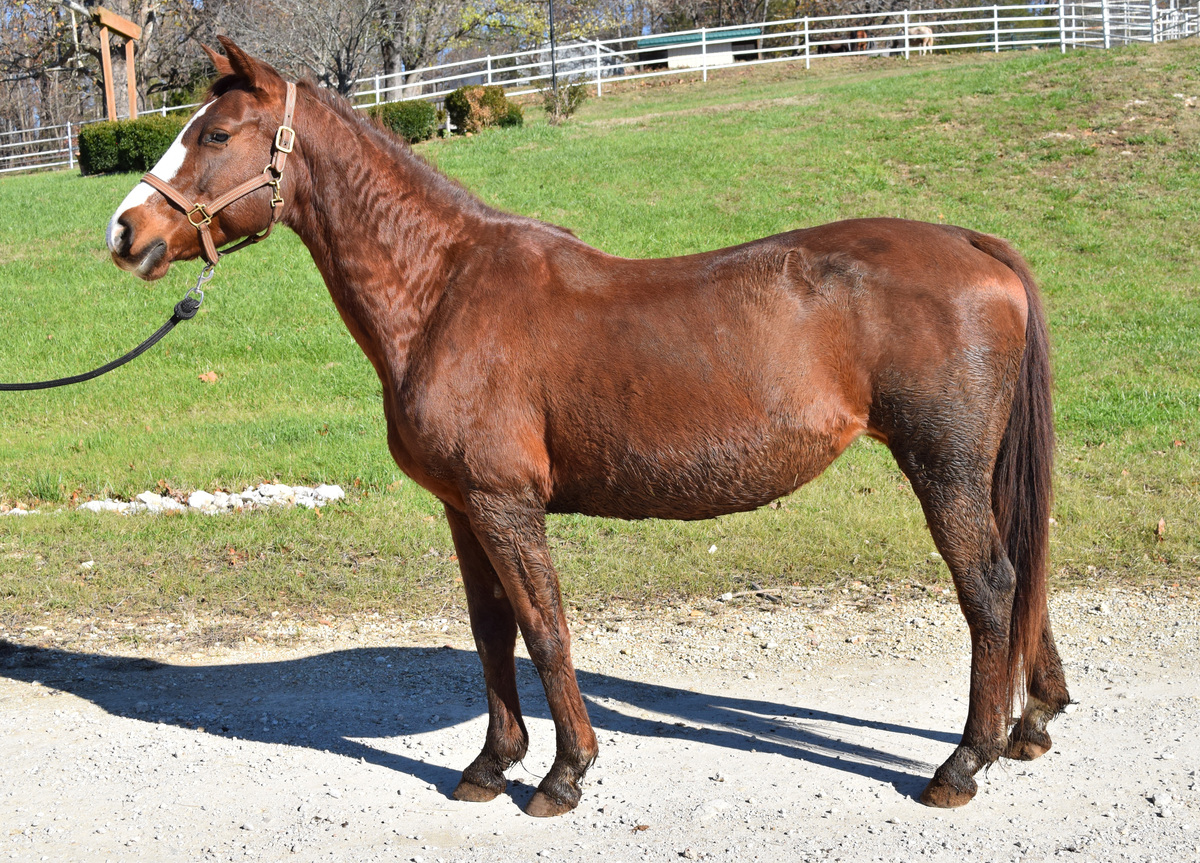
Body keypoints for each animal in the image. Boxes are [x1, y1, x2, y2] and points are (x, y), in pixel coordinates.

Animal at [106, 39, 1070, 817]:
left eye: (215, 135)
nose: (125, 230)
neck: (442, 289)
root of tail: (973, 244)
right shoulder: (465, 509)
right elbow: (491, 631)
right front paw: (490, 763)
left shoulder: (505, 504)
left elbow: (544, 628)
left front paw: (563, 774)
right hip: (976, 470)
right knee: (1021, 575)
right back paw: (1029, 723)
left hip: (942, 466)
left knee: (989, 585)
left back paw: (962, 763)